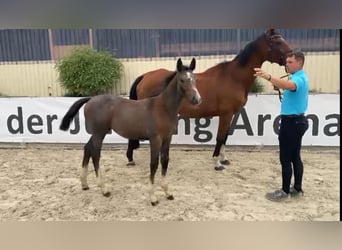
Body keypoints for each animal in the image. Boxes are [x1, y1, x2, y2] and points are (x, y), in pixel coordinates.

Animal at [59, 58, 200, 205]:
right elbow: (154, 164)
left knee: (87, 148)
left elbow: (165, 161)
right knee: (95, 154)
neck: (163, 108)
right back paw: (104, 189)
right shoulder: (155, 139)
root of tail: (91, 99)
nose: (196, 99)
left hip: (97, 133)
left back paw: (84, 184)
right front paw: (153, 197)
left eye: (194, 78)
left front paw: (167, 192)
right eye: (182, 80)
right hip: (99, 133)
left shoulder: (167, 138)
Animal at [127, 28, 292, 171]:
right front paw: (217, 163)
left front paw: (224, 159)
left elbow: (225, 137)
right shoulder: (225, 114)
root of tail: (145, 76)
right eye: (277, 42)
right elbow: (219, 138)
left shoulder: (230, 115)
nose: (291, 57)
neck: (233, 77)